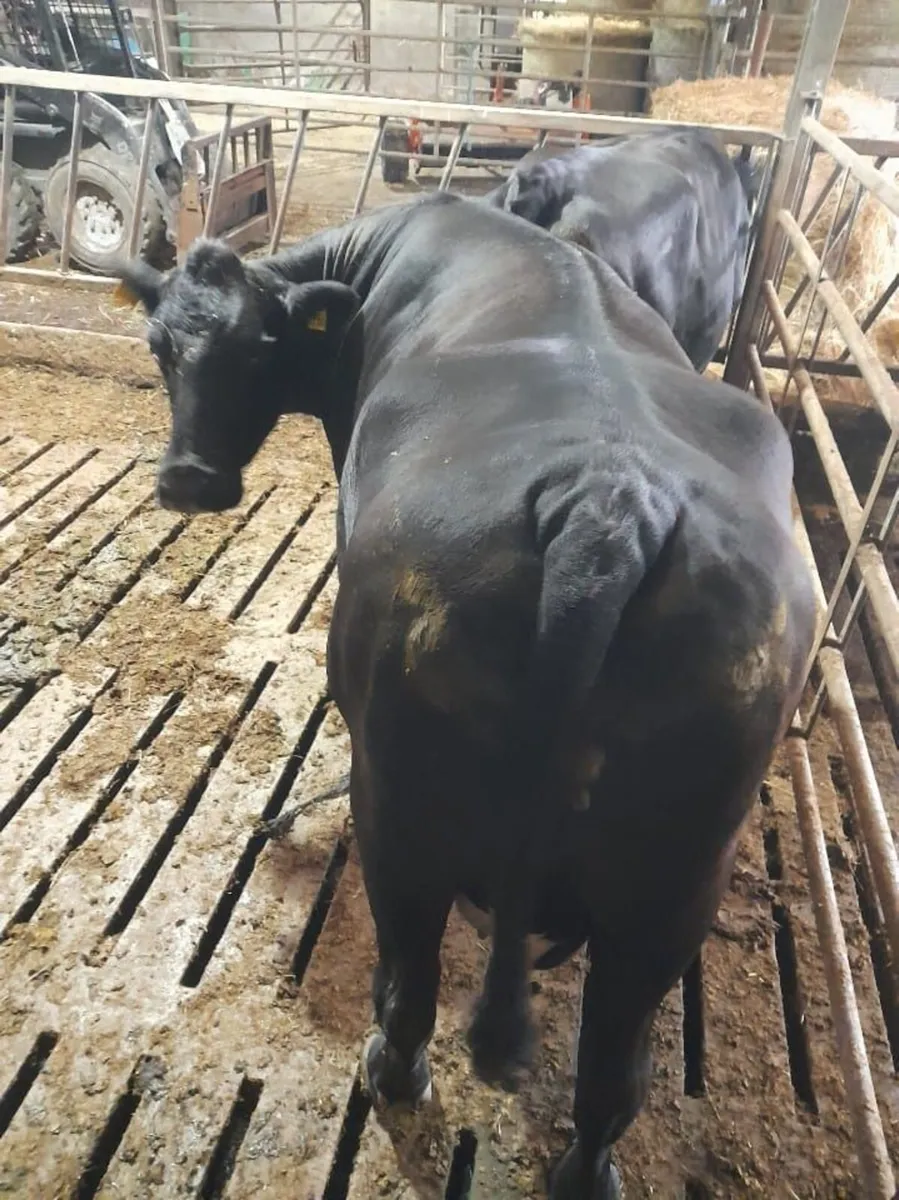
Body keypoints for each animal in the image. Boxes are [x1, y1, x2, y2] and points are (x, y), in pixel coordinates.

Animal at [118, 191, 815, 1200]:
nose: (187, 482)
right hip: (681, 874)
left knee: (409, 970)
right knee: (613, 1071)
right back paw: (584, 1168)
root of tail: (607, 500)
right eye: (161, 346)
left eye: (257, 348)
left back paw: (391, 1070)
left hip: (401, 810)